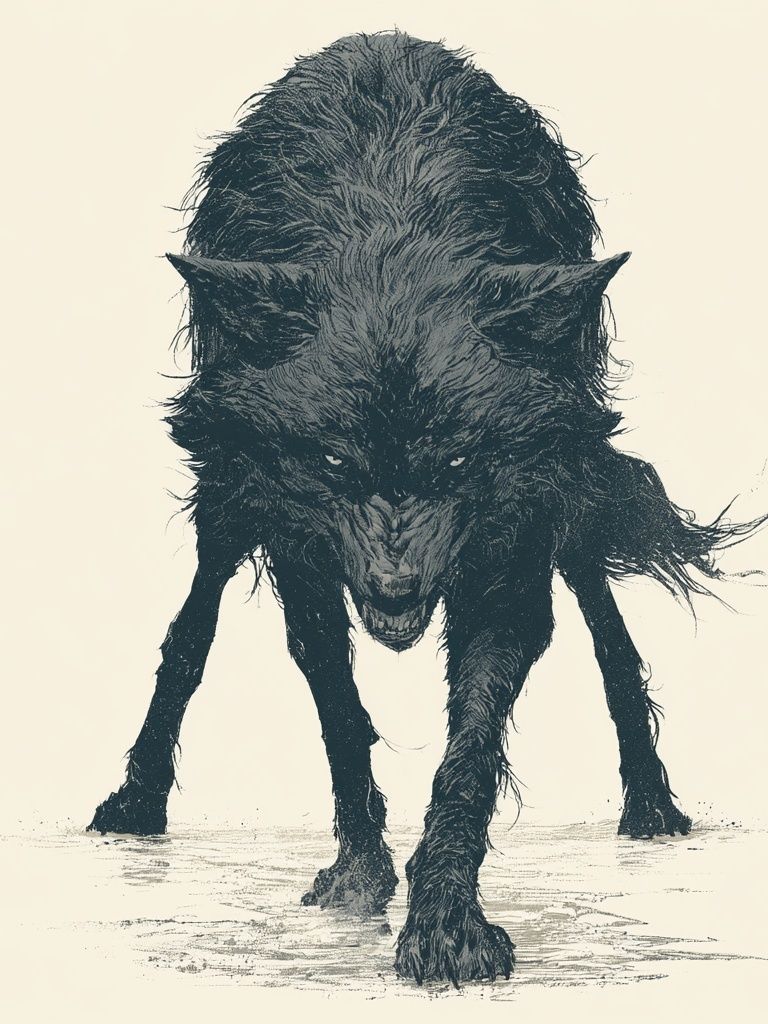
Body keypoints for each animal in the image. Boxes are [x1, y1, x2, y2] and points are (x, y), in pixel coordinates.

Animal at [89, 31, 764, 984]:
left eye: (457, 459)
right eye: (335, 458)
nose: (397, 588)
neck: (391, 238)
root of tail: (378, 39)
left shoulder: (512, 548)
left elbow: (469, 757)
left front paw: (446, 923)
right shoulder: (299, 542)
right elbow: (336, 705)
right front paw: (360, 877)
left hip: (565, 493)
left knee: (608, 627)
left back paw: (651, 804)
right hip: (230, 496)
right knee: (191, 630)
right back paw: (137, 798)